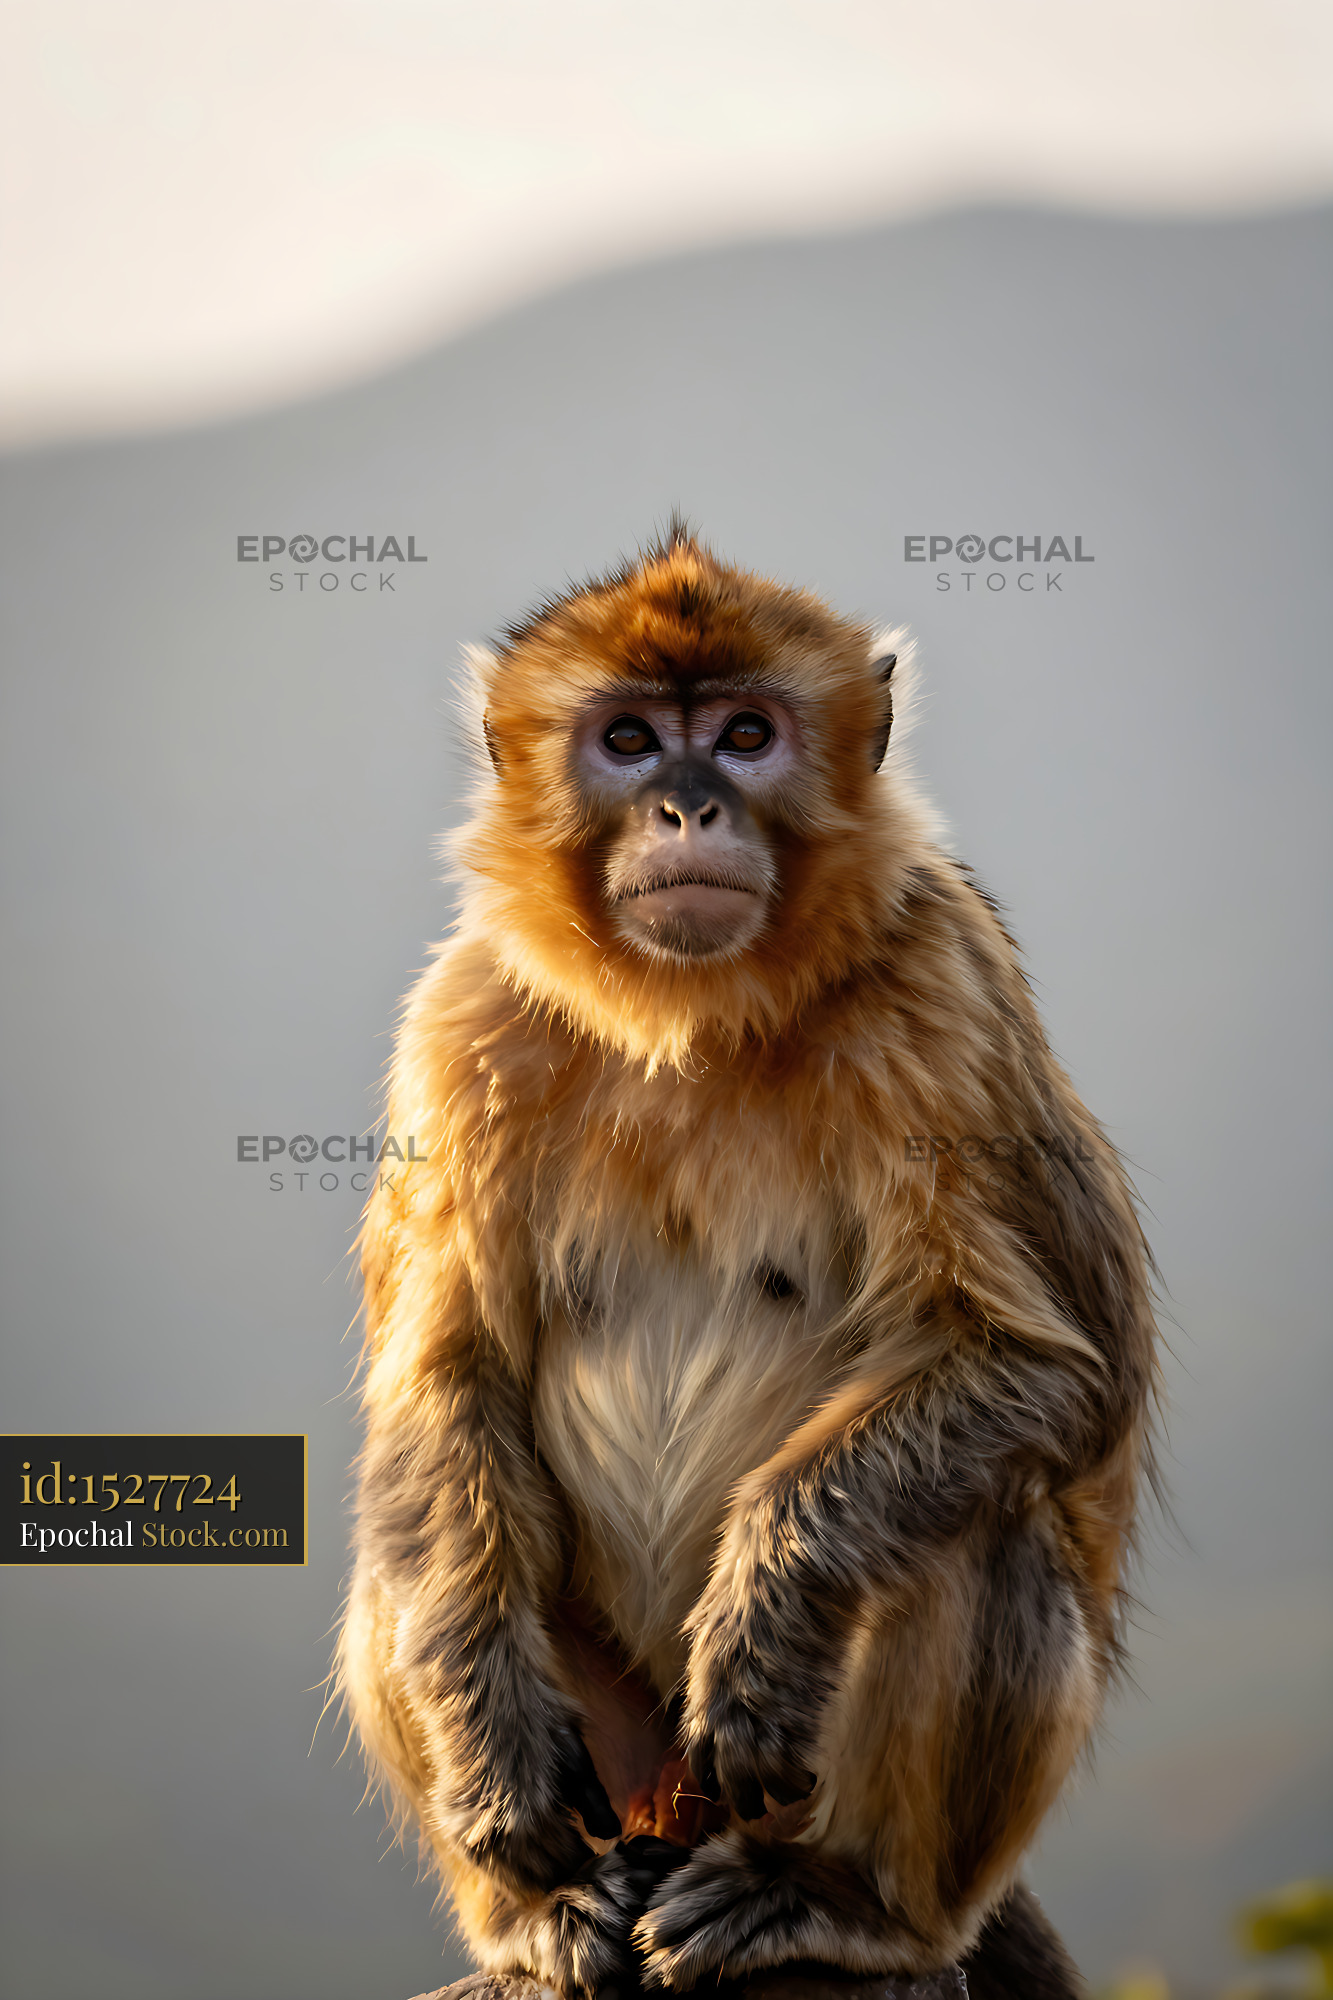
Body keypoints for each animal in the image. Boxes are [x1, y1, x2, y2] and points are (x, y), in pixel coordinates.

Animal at [339, 525, 1157, 2000]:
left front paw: (770, 1611)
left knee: (982, 1521)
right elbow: (444, 1381)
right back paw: (537, 1914)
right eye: (626, 739)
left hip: (754, 1797)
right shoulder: (460, 1020)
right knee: (412, 1523)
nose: (687, 806)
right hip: (619, 1758)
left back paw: (843, 1901)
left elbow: (1052, 1364)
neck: (691, 1014)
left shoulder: (940, 986)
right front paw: (493, 1762)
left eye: (743, 733)